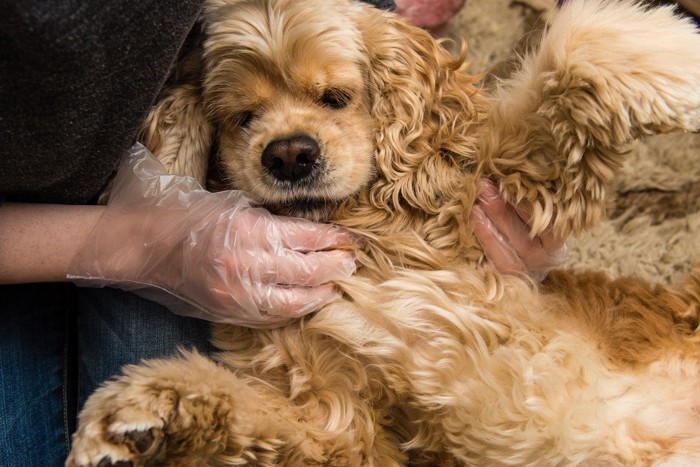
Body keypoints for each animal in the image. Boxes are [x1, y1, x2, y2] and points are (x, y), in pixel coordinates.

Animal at [67, 0, 700, 464]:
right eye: (242, 118)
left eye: (336, 97)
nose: (289, 155)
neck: (355, 228)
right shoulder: (341, 422)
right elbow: (264, 418)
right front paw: (139, 415)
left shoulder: (503, 189)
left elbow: (582, 39)